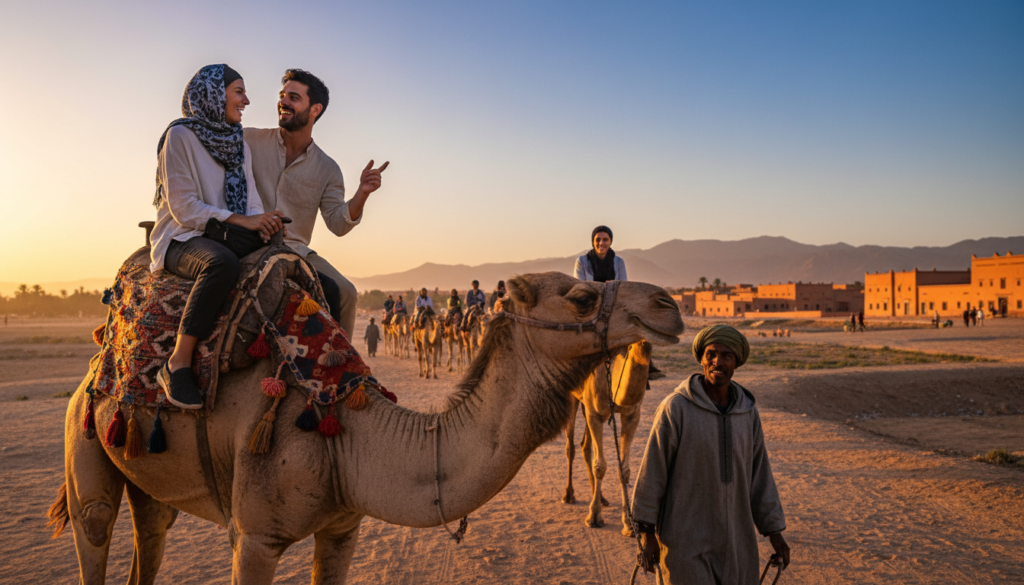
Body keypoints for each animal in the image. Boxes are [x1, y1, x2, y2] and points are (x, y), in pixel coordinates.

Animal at [561, 340, 652, 536]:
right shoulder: (595, 414)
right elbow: (600, 466)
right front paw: (594, 518)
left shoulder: (632, 415)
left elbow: (624, 470)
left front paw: (629, 523)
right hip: (573, 396)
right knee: (570, 447)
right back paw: (569, 495)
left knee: (584, 445)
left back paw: (600, 497)